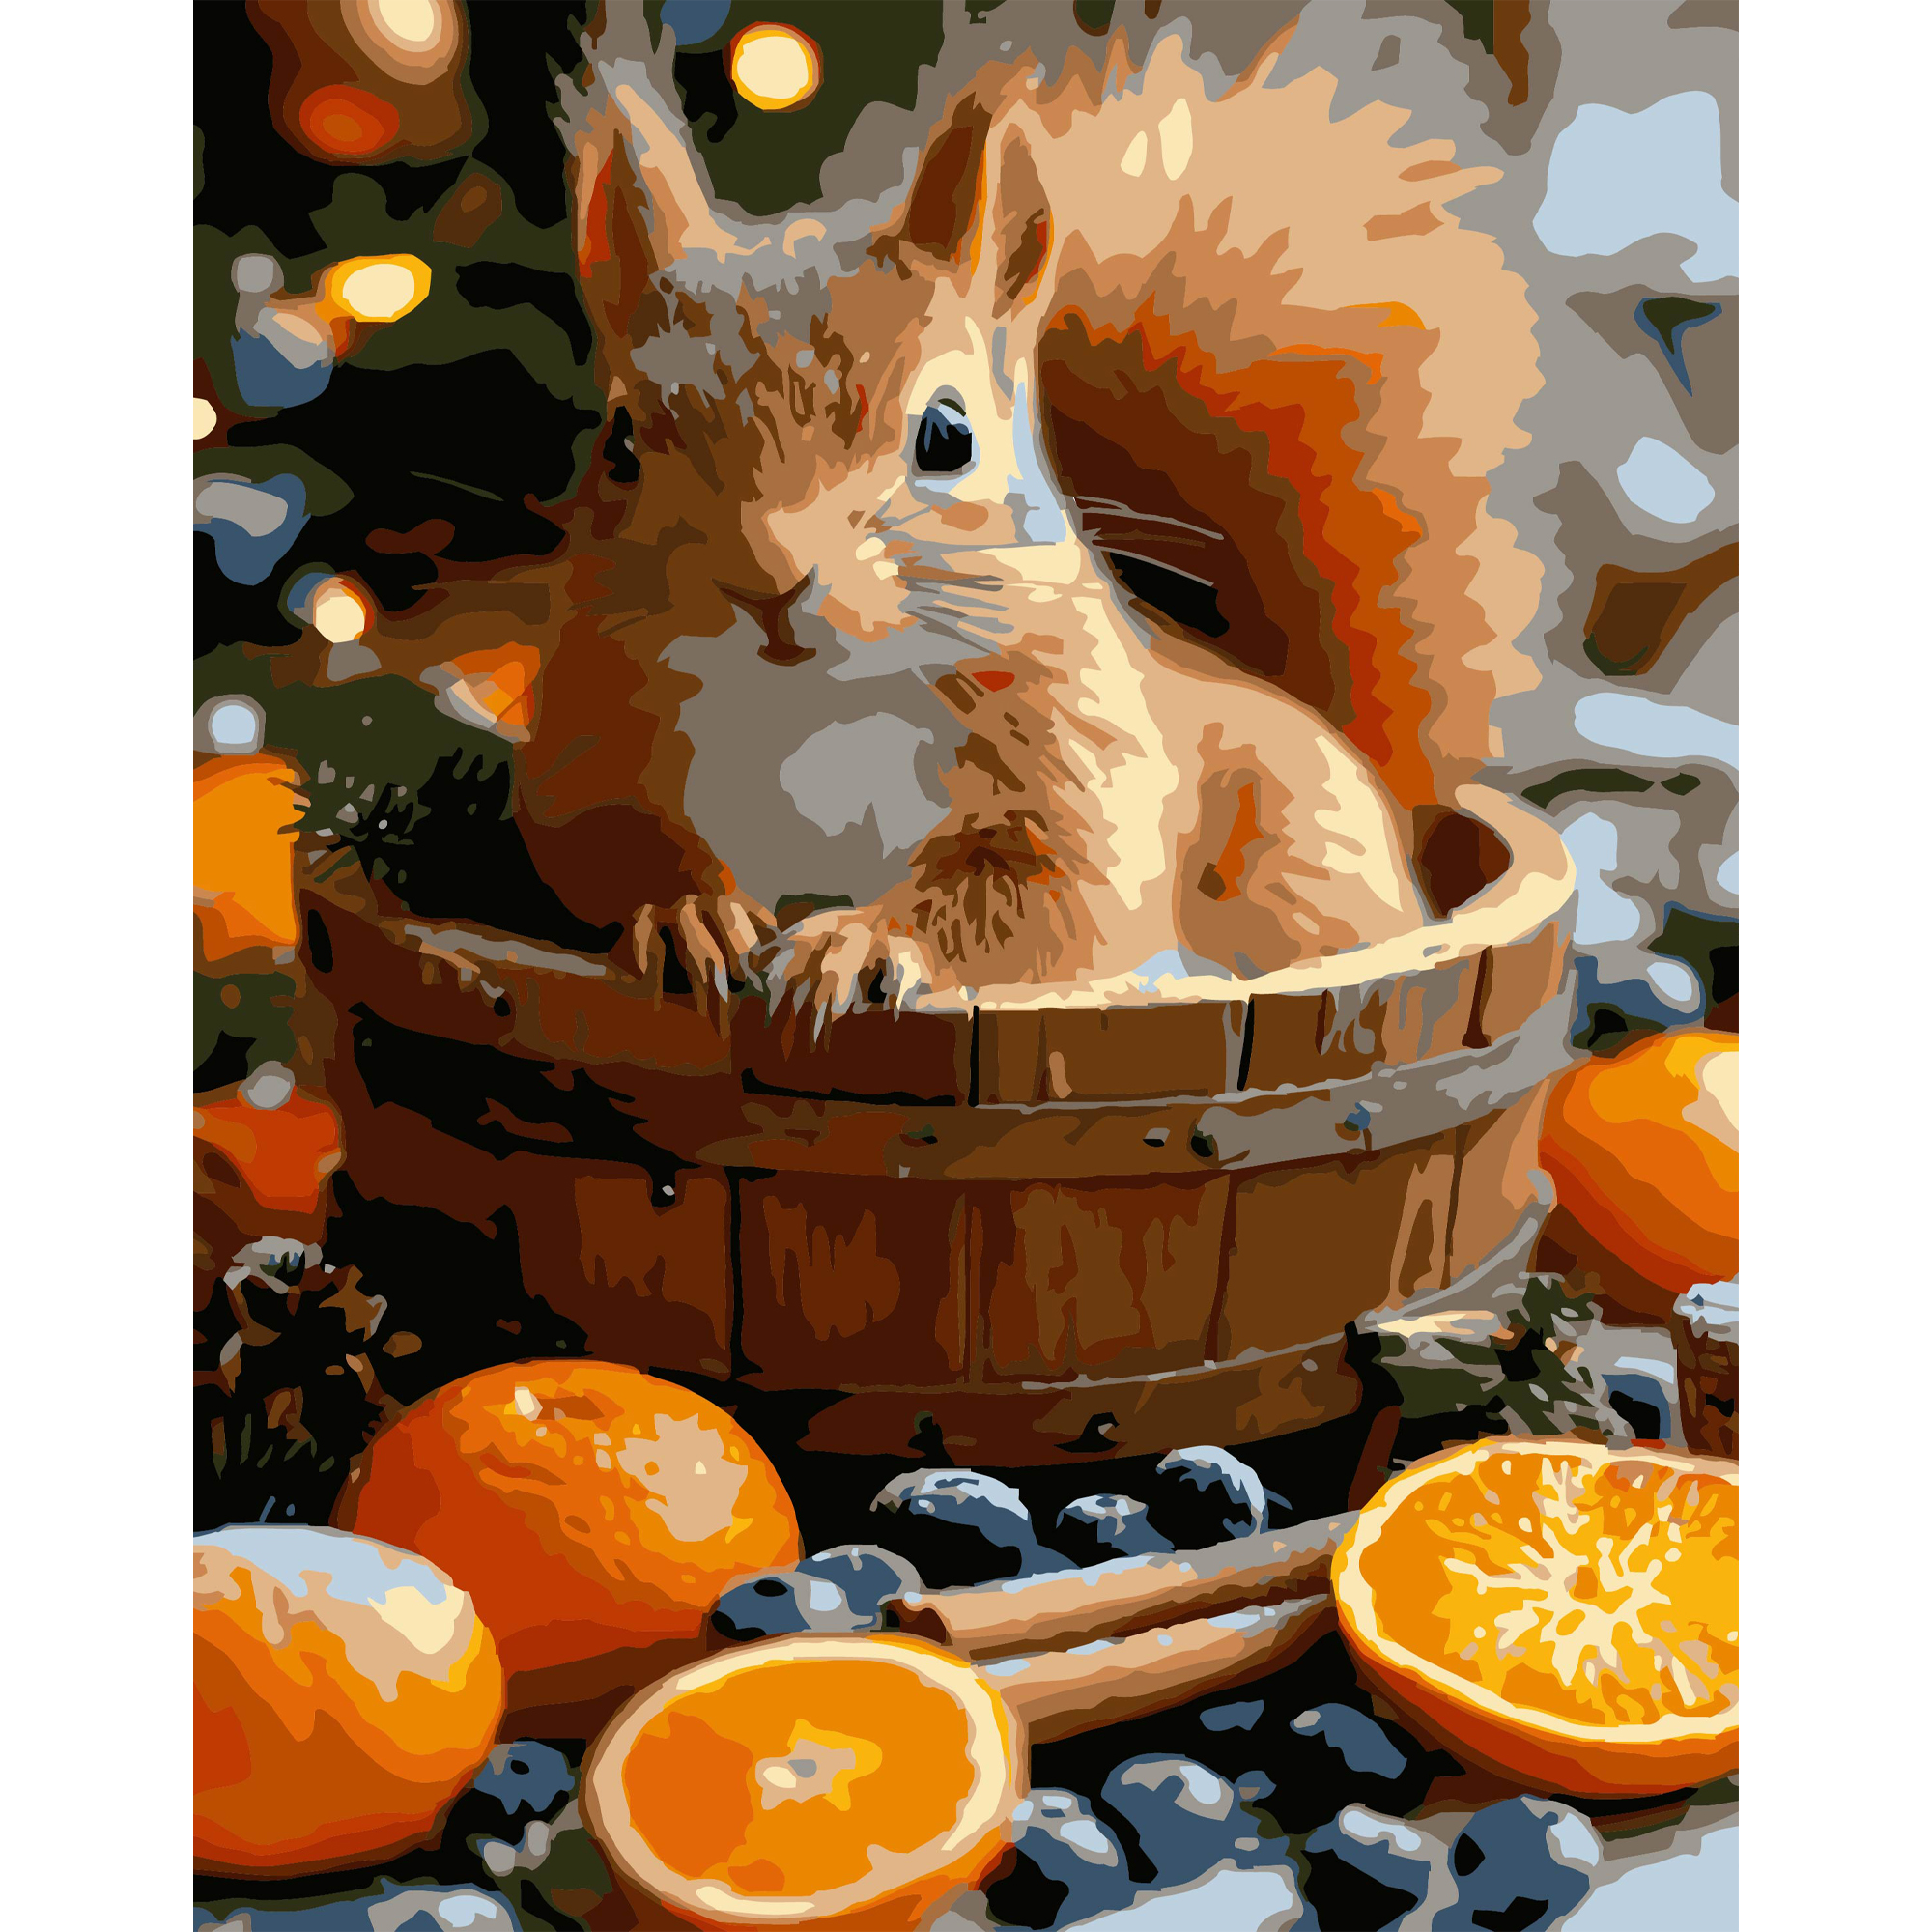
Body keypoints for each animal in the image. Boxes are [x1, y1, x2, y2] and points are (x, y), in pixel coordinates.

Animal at [274, 20, 1543, 1031]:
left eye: (947, 434)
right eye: (619, 441)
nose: (768, 581)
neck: (807, 709)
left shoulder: (1085, 767)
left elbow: (1045, 898)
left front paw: (857, 940)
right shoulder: (593, 741)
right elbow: (591, 852)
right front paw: (689, 915)